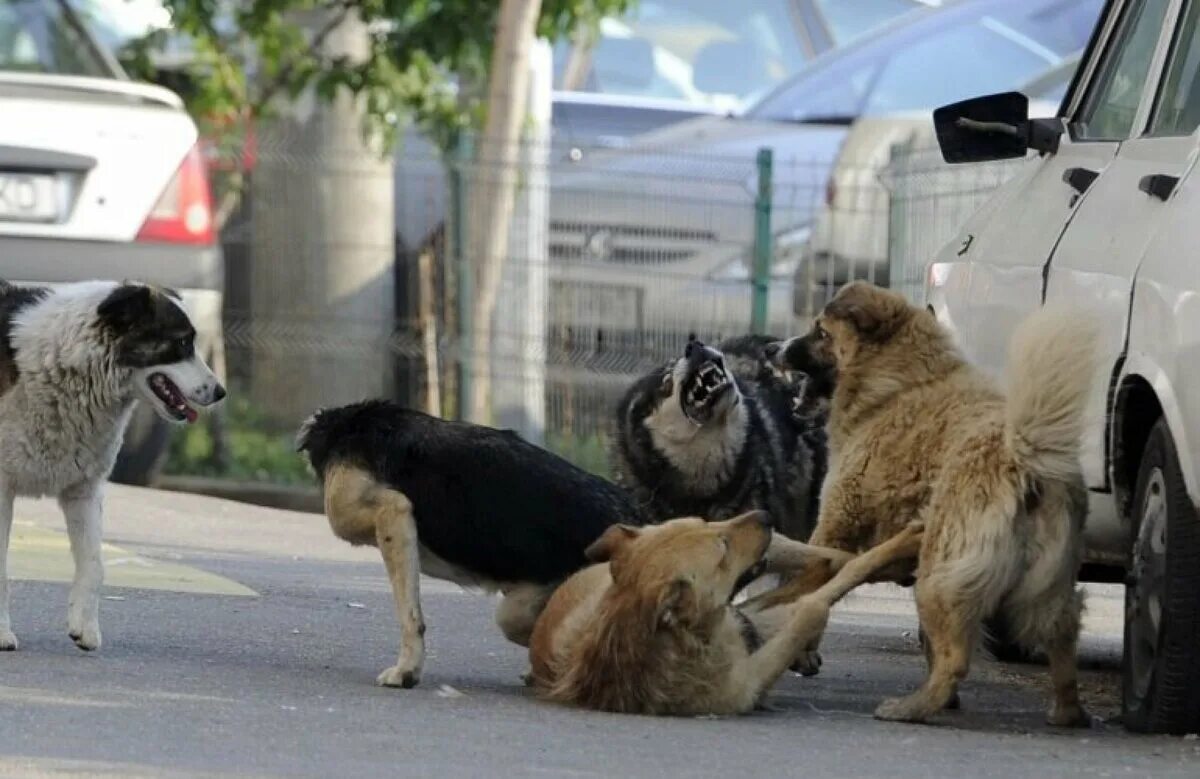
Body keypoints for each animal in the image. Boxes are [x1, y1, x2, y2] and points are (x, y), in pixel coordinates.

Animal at [0, 279, 224, 648]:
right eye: (181, 343)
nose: (220, 392)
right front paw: (3, 633)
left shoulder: (84, 491)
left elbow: (95, 564)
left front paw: (85, 628)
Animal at [525, 506, 916, 715]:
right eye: (723, 548)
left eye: (703, 522)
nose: (765, 514)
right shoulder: (751, 677)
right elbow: (815, 605)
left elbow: (833, 577)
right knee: (824, 572)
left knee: (826, 558)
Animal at [744, 282, 1099, 724]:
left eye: (820, 332)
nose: (772, 348)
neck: (901, 383)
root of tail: (1024, 456)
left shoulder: (834, 529)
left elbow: (808, 583)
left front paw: (797, 646)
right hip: (1045, 587)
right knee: (1062, 636)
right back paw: (1067, 711)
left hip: (938, 578)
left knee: (956, 658)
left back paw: (911, 707)